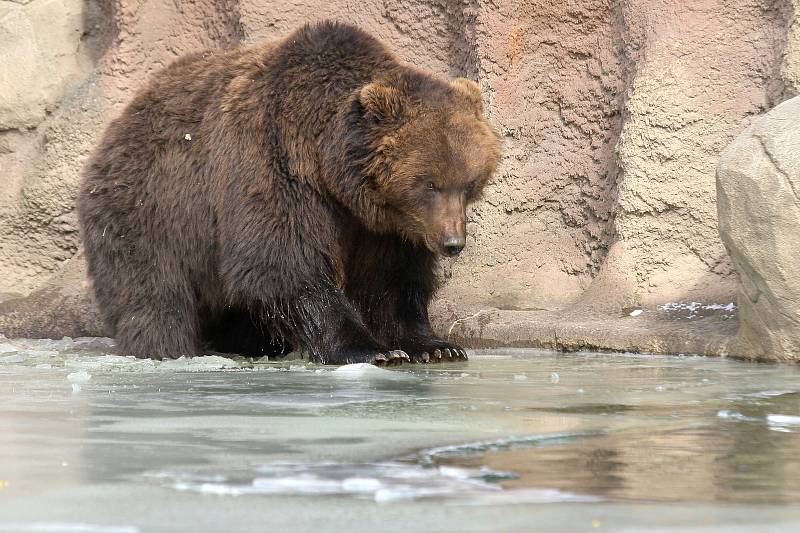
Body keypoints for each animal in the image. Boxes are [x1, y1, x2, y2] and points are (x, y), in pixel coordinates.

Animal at [76, 19, 500, 362]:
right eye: (429, 184)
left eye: (469, 183)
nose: (452, 243)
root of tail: (115, 126)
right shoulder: (275, 162)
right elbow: (283, 262)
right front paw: (370, 350)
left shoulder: (382, 226)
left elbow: (391, 278)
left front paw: (435, 346)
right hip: (151, 209)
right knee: (154, 296)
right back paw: (165, 348)